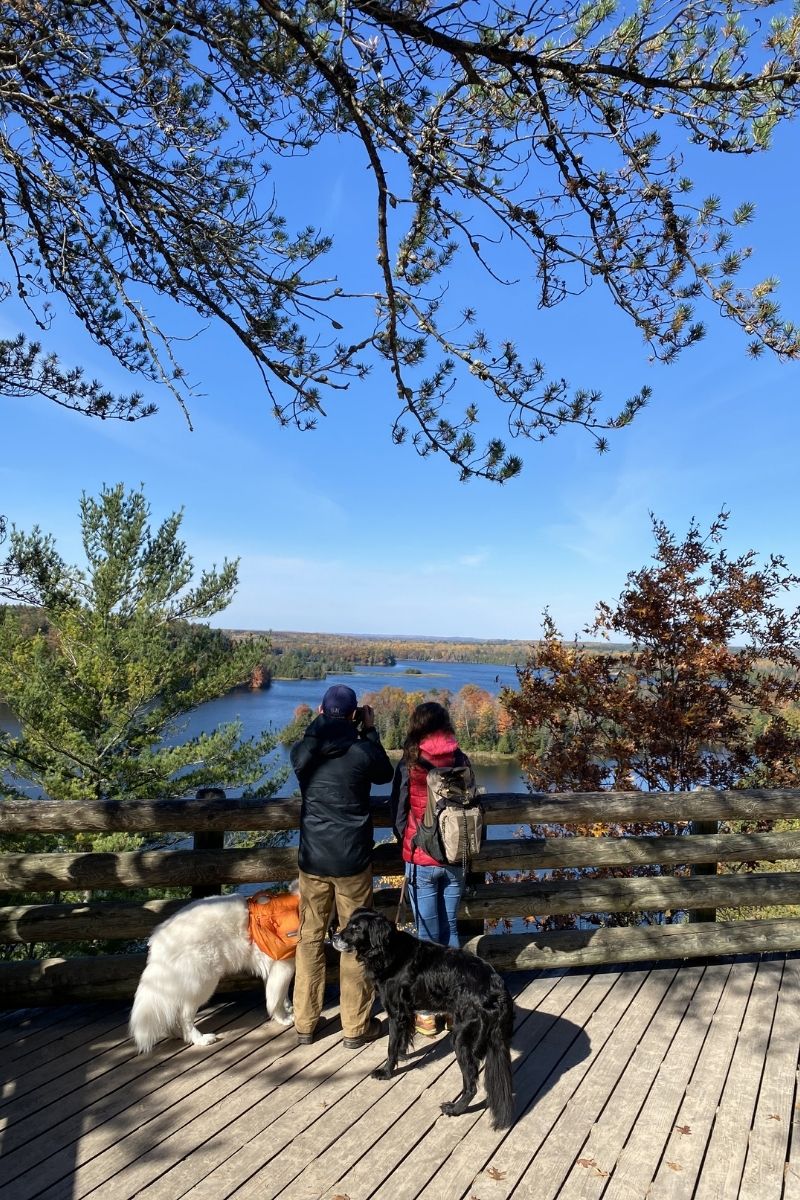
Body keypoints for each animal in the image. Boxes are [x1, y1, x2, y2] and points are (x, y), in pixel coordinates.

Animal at [130, 888, 298, 1056]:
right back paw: (199, 1039)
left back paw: (178, 1033)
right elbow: (276, 999)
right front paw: (284, 1018)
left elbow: (281, 995)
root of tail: (159, 940)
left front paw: (289, 1007)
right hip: (203, 983)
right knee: (185, 1015)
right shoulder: (283, 966)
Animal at [331, 907, 513, 1123]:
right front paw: (402, 1055)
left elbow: (390, 1046)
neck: (388, 951)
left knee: (471, 1085)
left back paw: (455, 1109)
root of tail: (497, 990)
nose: (333, 937)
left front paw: (386, 1072)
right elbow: (402, 1039)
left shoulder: (395, 1013)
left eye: (356, 929)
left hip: (462, 1039)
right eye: (348, 924)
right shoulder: (406, 1012)